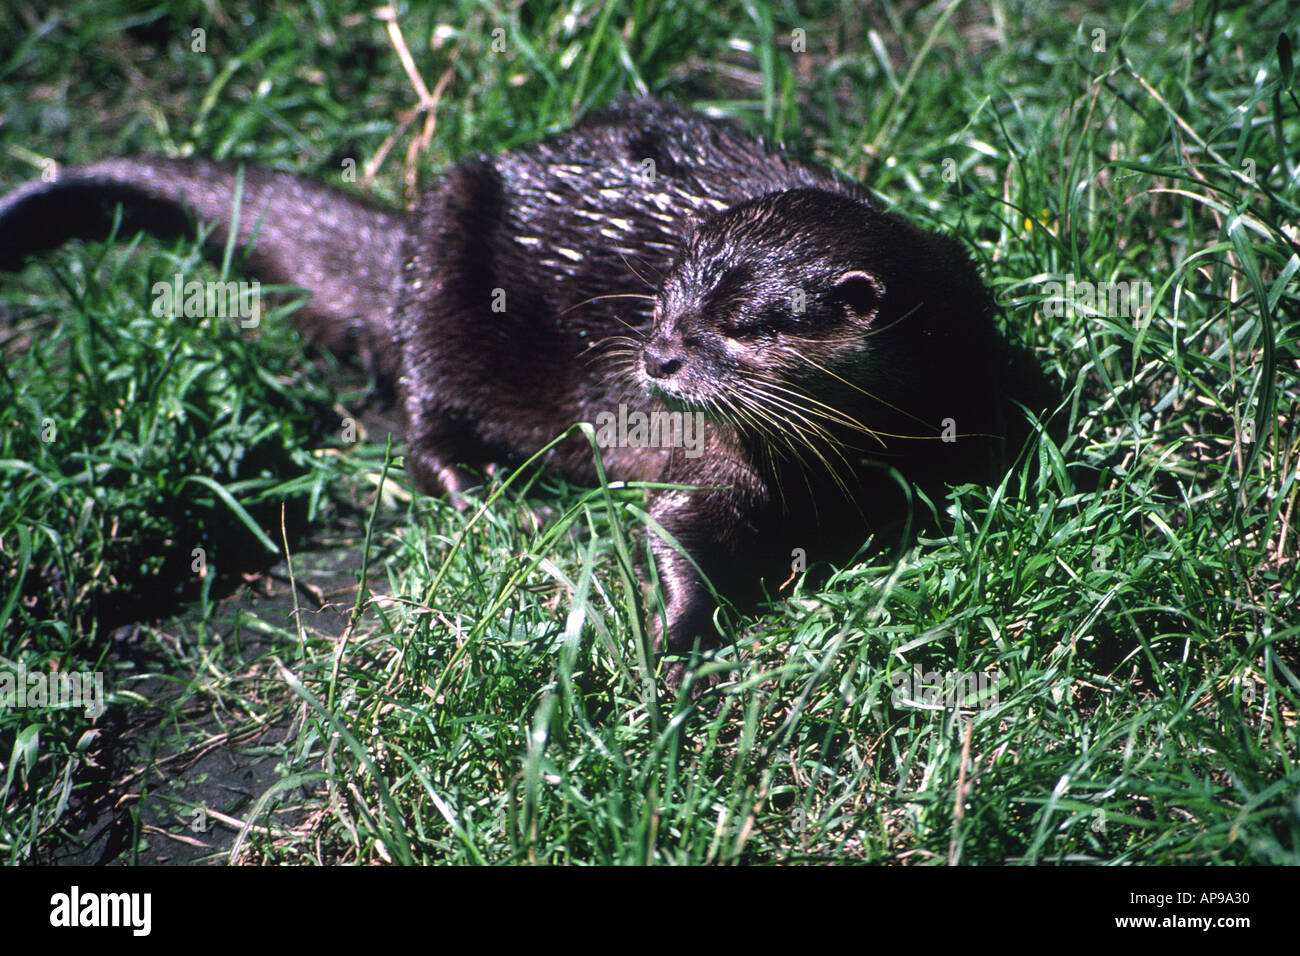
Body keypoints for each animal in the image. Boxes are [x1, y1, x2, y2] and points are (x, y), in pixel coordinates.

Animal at [0, 97, 1013, 686]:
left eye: (747, 322)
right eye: (663, 302)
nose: (658, 360)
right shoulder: (709, 458)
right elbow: (675, 530)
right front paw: (674, 644)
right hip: (443, 254)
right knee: (421, 421)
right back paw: (489, 495)